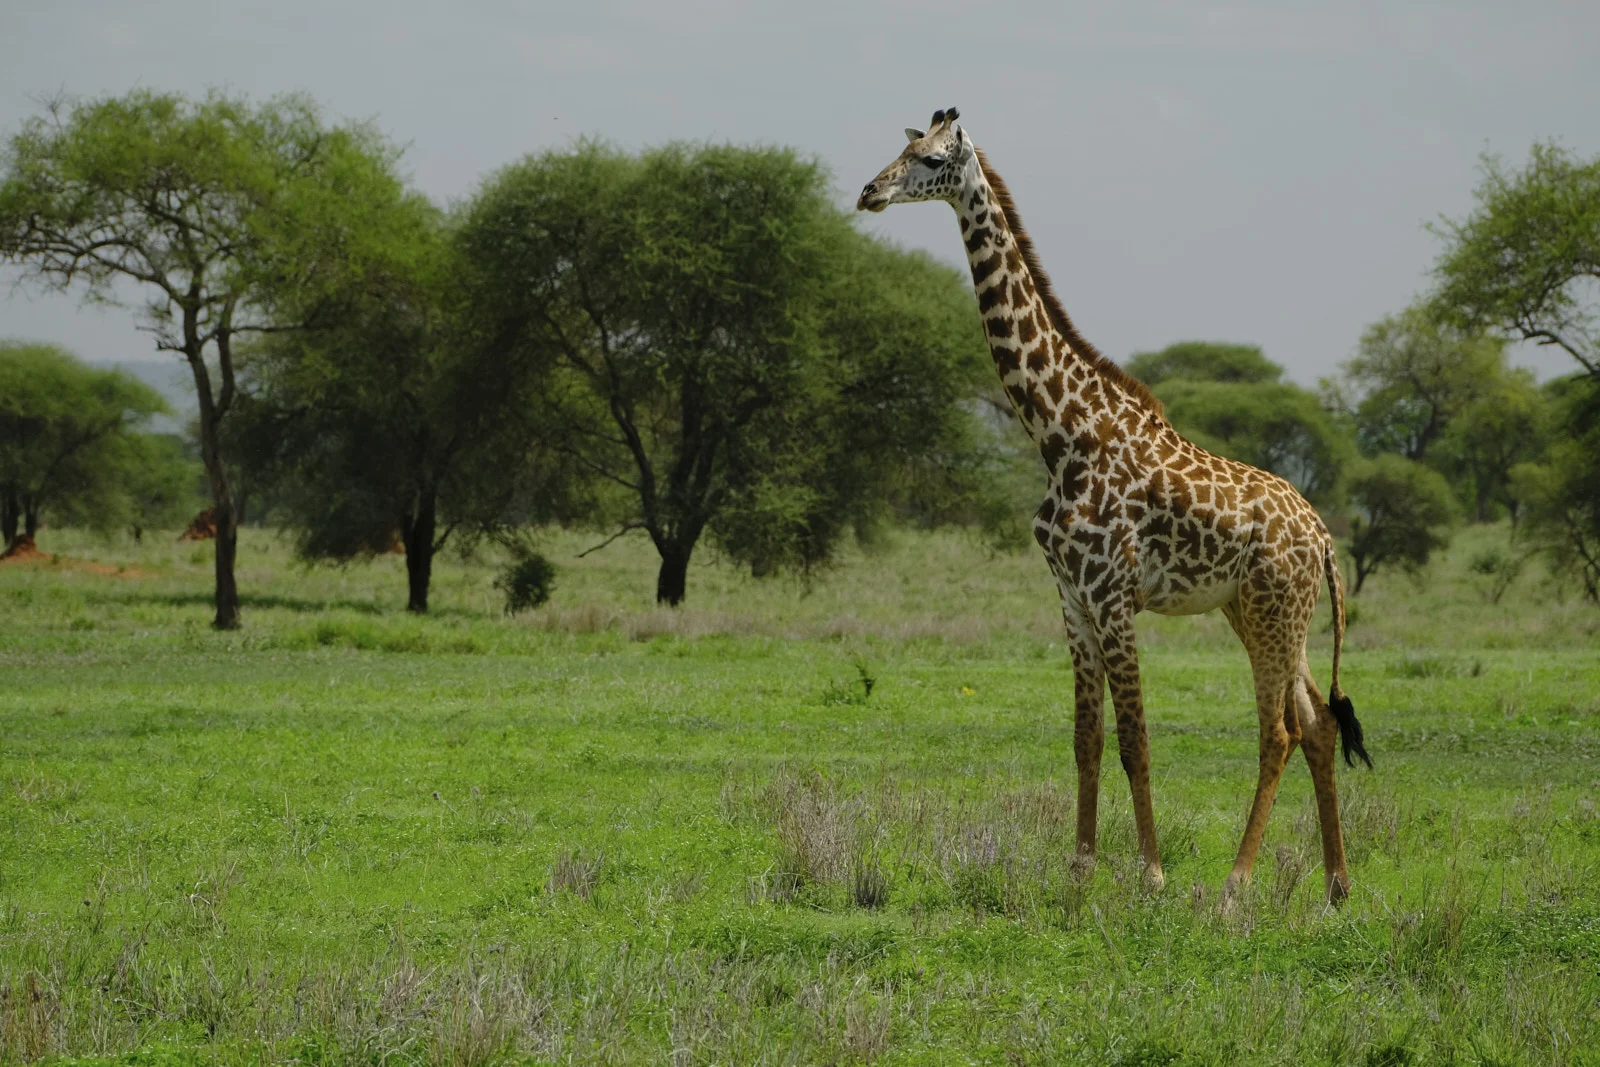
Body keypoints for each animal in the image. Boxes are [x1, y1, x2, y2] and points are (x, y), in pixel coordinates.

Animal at [858, 108, 1371, 904]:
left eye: (933, 159)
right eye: (903, 148)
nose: (869, 192)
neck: (1059, 431)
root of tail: (1321, 536)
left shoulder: (1114, 593)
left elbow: (1135, 738)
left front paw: (1152, 872)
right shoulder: (1071, 597)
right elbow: (1086, 738)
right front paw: (1079, 867)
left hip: (1272, 612)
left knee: (1279, 731)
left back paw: (1235, 882)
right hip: (1264, 614)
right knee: (1315, 723)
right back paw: (1337, 884)